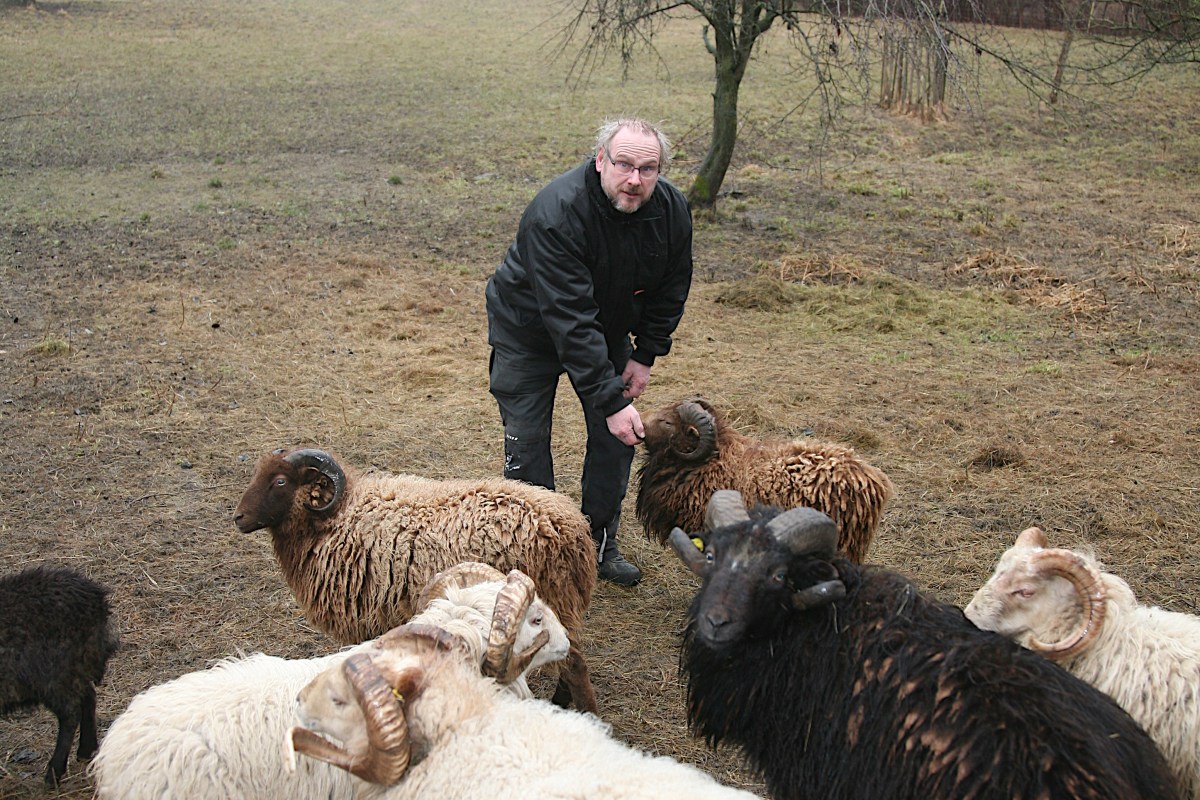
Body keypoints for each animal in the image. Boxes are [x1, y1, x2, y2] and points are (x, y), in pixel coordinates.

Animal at [0, 564, 119, 787]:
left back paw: (54, 773)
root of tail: (96, 600)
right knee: (88, 696)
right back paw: (86, 750)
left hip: (52, 674)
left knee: (70, 714)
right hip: (72, 668)